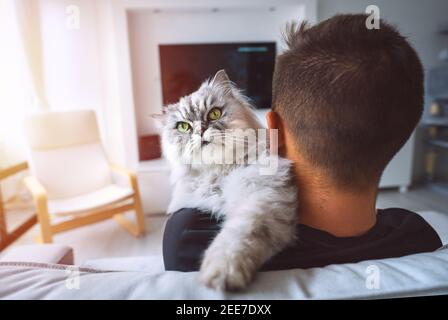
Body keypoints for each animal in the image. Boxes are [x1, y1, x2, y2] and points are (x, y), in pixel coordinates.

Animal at [154, 71, 298, 292]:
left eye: (214, 114)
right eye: (183, 127)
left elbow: (234, 239)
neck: (220, 173)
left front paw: (223, 273)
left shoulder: (262, 198)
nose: (200, 131)